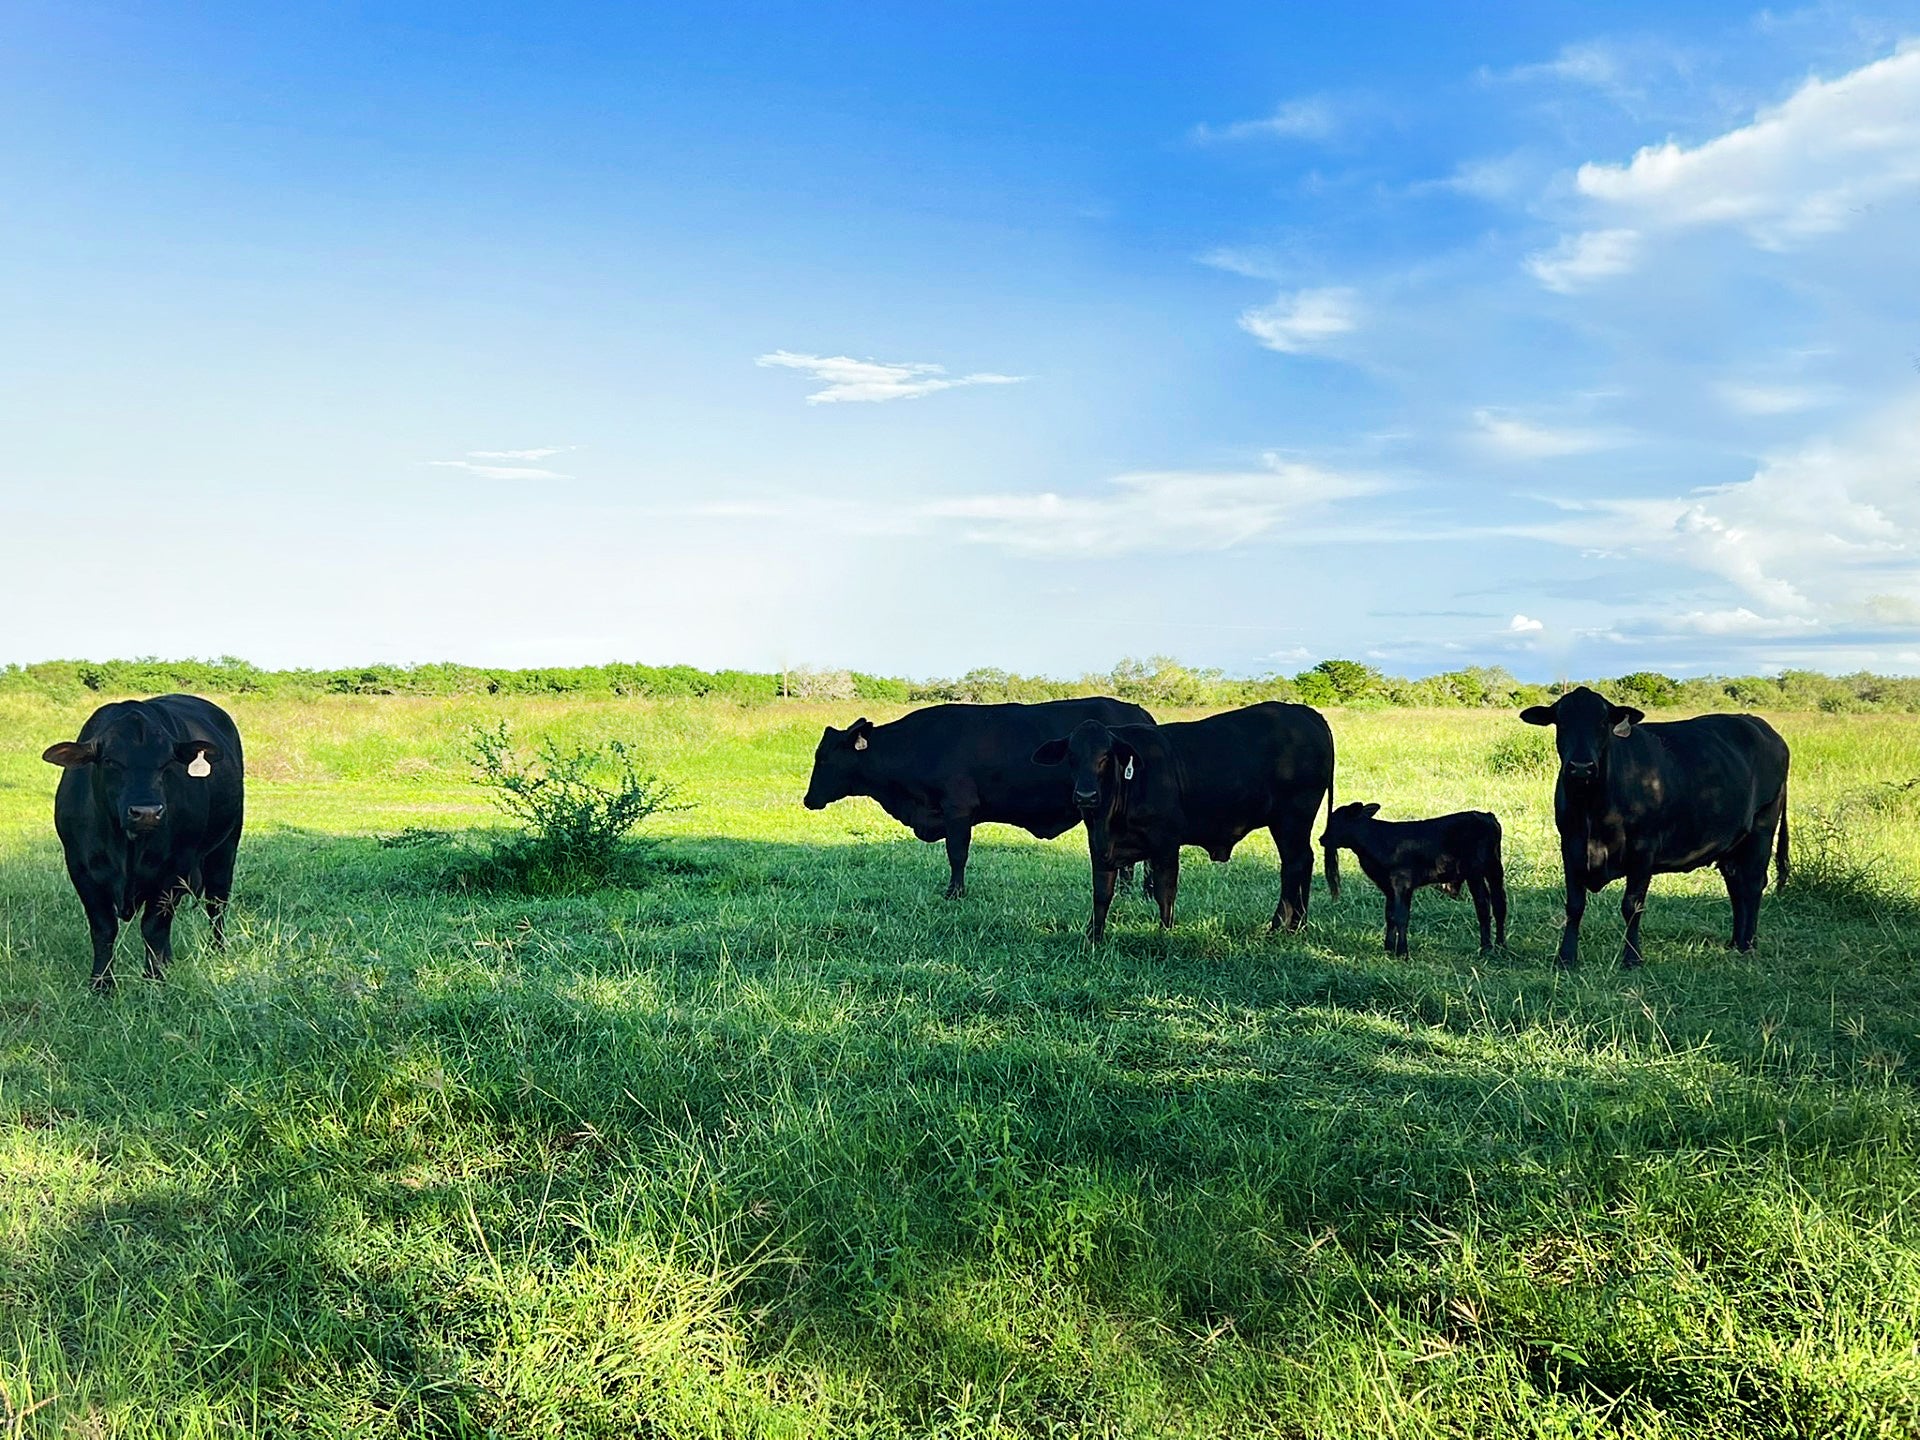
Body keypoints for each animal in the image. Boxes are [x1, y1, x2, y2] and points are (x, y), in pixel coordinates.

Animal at [42, 695, 243, 990]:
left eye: (167, 762)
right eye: (110, 761)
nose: (147, 812)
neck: (125, 846)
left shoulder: (175, 868)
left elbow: (154, 926)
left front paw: (154, 979)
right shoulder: (81, 868)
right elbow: (103, 928)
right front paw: (101, 984)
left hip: (225, 847)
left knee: (216, 903)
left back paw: (216, 952)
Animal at [1036, 702, 1336, 948]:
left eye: (1106, 757)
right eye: (1071, 756)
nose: (1086, 796)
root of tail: (1307, 713)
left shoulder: (1166, 844)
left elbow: (1164, 892)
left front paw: (1165, 934)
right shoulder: (1100, 848)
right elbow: (1101, 894)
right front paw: (1093, 938)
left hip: (1293, 818)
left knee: (1294, 866)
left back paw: (1278, 927)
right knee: (1302, 862)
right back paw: (1298, 925)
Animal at [1320, 802, 1497, 960]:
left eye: (1334, 821)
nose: (1322, 839)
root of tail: (1486, 815)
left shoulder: (1402, 883)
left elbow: (1401, 916)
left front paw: (1402, 953)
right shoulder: (1388, 887)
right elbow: (1390, 915)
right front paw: (1388, 949)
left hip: (1477, 872)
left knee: (1484, 904)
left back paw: (1486, 949)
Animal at [1520, 687, 1789, 971]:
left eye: (1603, 722)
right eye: (1561, 721)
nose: (1581, 767)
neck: (1592, 810)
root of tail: (1762, 727)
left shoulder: (1643, 849)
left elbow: (1632, 905)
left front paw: (1632, 958)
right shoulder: (1570, 845)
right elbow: (1574, 905)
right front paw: (1566, 956)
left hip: (1762, 827)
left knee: (1753, 884)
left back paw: (1748, 945)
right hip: (1733, 841)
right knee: (1735, 883)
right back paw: (1735, 942)